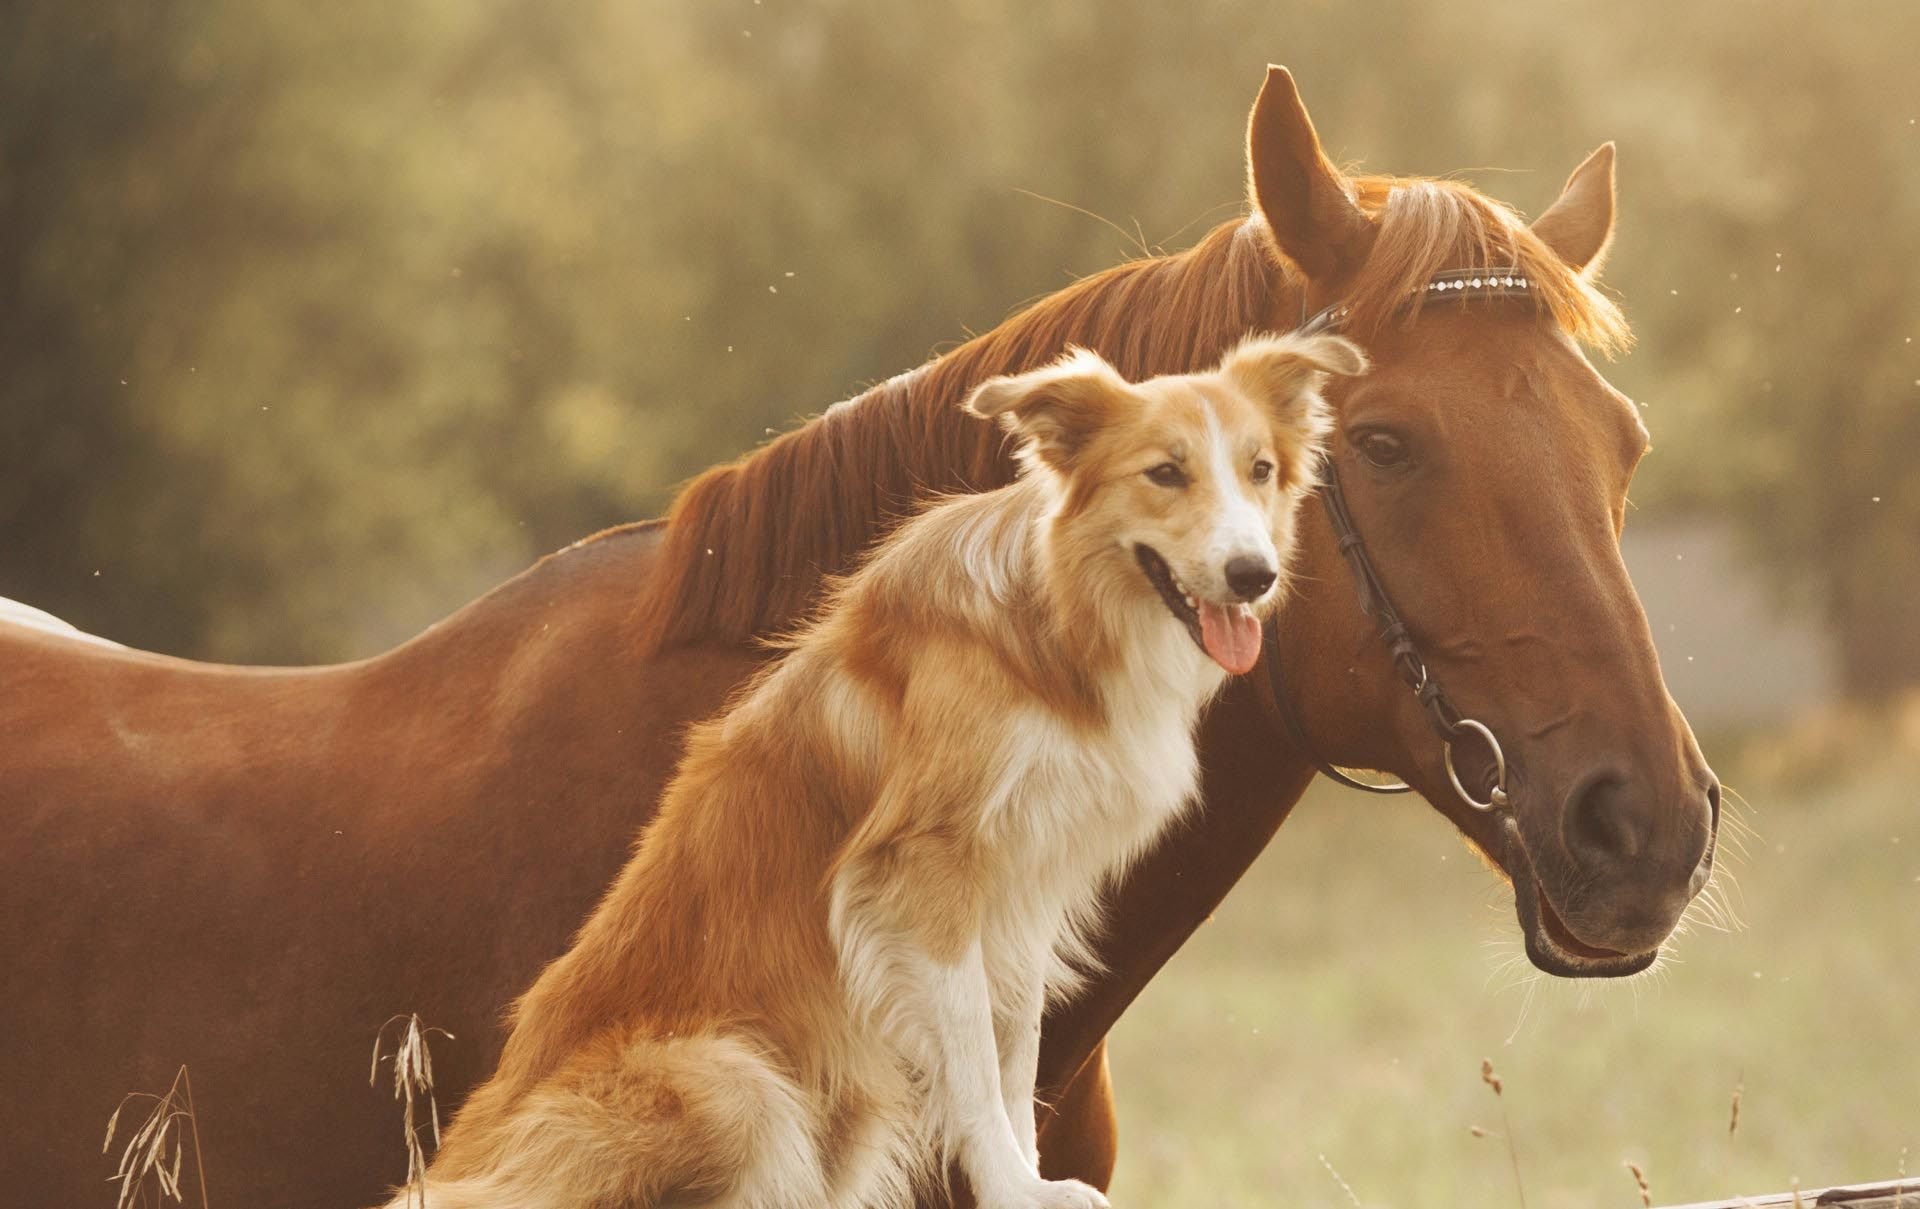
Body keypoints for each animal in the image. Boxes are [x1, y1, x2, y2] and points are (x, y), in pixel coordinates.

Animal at [382, 331, 1359, 1209]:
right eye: (1165, 473)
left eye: (1261, 470)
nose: (1253, 574)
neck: (1054, 627)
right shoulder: (923, 872)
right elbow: (973, 1056)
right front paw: (1016, 1186)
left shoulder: (1023, 889)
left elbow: (1015, 1050)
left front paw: (1028, 1177)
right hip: (736, 1080)